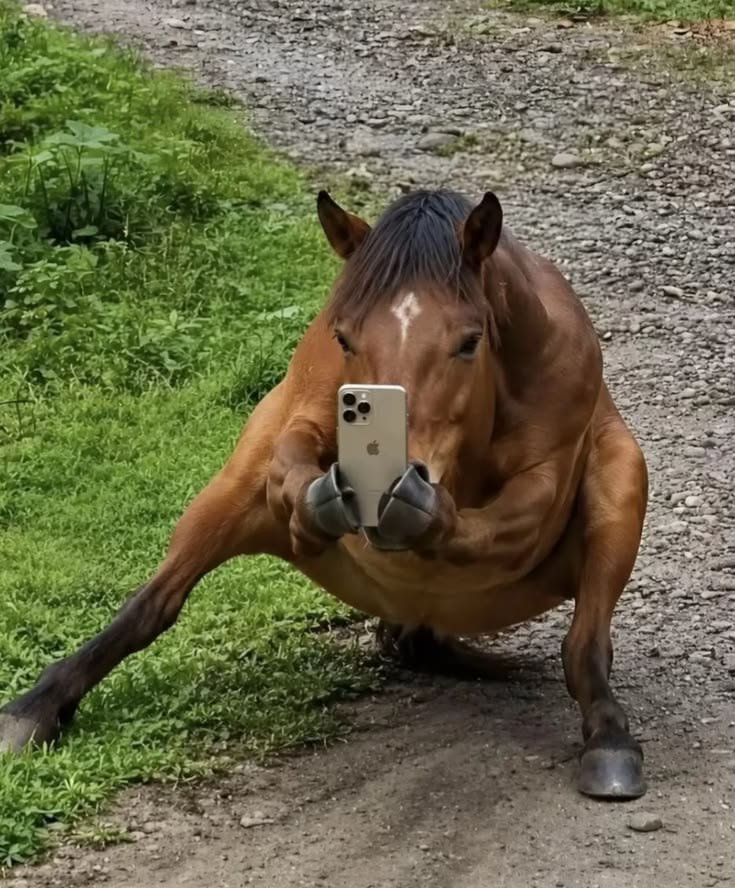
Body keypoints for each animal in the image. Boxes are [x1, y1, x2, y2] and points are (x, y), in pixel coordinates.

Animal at [0, 189, 649, 800]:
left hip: (624, 480)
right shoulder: (304, 408)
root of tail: (419, 615)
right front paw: (322, 499)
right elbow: (292, 453)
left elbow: (513, 517)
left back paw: (610, 740)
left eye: (470, 342)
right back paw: (31, 711)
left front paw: (421, 509)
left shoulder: (547, 476)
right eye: (345, 338)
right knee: (153, 603)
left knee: (583, 646)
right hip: (228, 497)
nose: (397, 474)